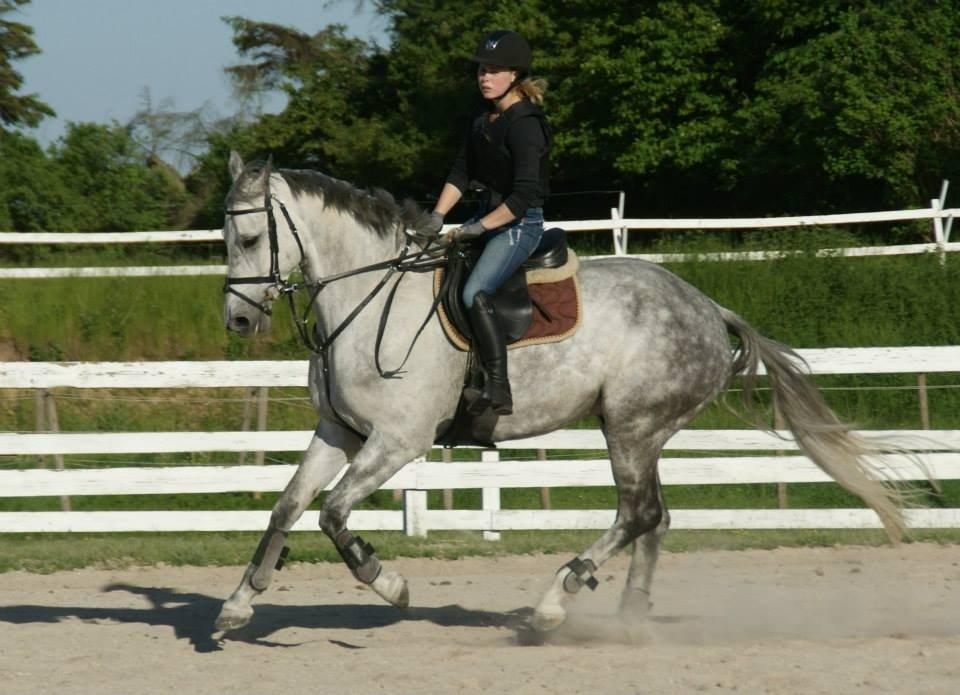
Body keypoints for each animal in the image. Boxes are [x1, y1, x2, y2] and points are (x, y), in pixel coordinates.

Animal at [214, 155, 912, 640]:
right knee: (655, 519)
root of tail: (708, 308)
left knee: (637, 515)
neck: (371, 297)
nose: (239, 321)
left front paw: (391, 584)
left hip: (630, 427)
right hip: (640, 432)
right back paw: (628, 619)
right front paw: (237, 604)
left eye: (249, 240)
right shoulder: (341, 432)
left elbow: (333, 515)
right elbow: (287, 506)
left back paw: (553, 605)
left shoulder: (398, 442)